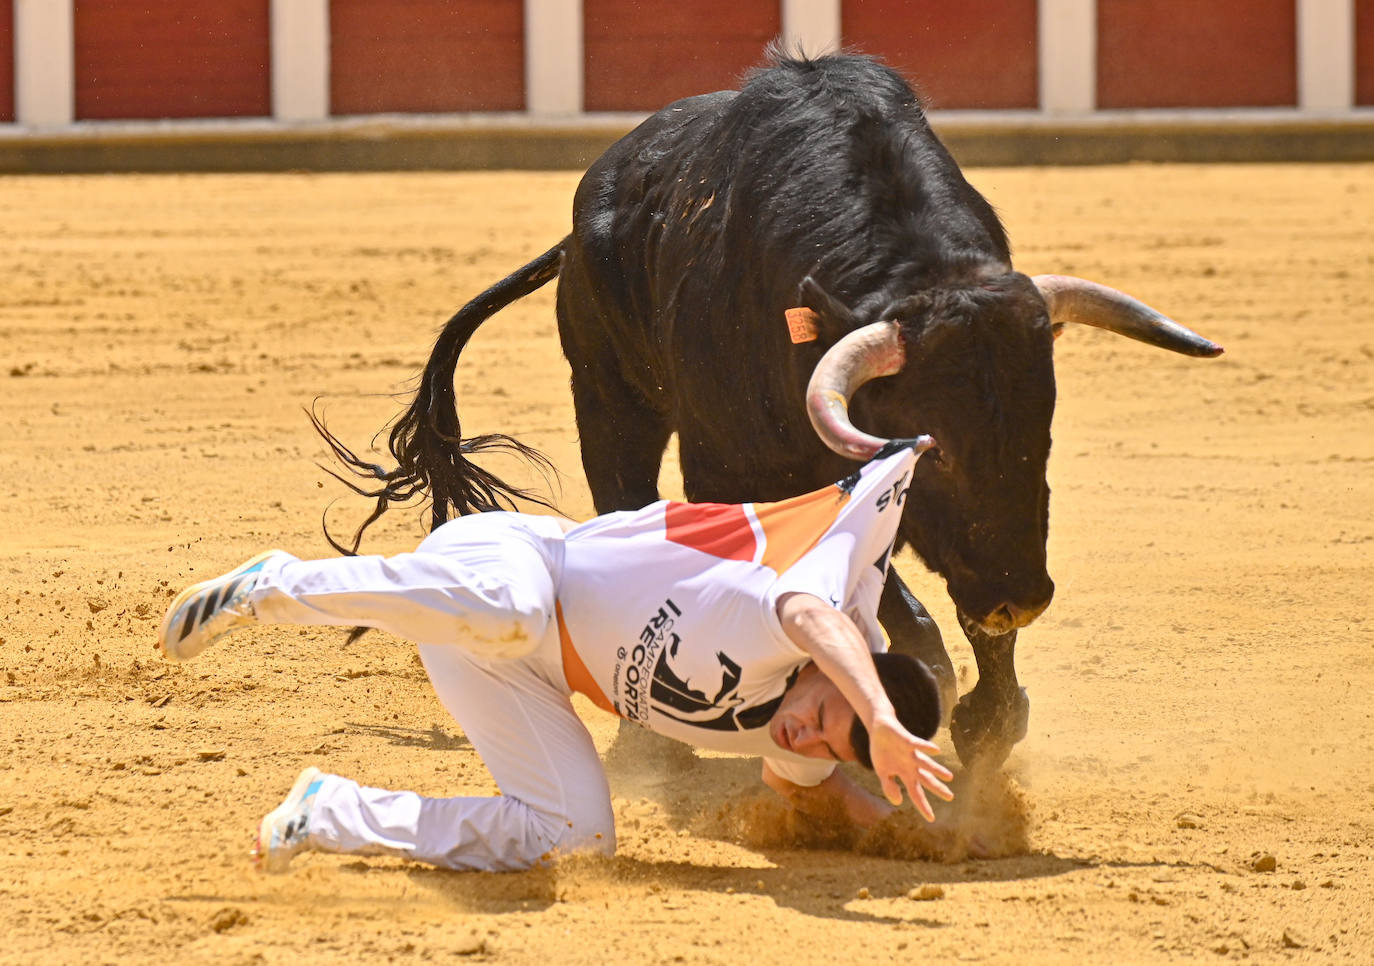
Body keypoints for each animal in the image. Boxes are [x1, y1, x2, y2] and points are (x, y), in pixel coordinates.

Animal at [324, 52, 1225, 769]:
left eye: (1039, 435)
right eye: (936, 450)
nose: (1019, 595)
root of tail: (582, 228)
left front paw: (985, 726)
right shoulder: (740, 473)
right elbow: (894, 615)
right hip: (611, 403)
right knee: (626, 498)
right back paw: (654, 741)